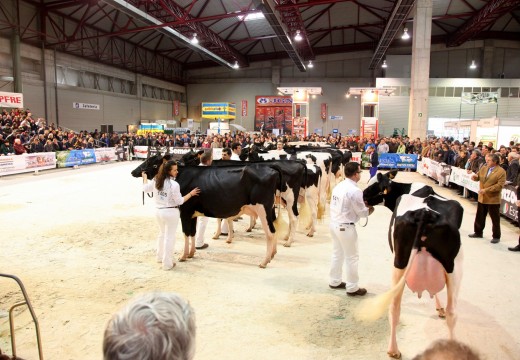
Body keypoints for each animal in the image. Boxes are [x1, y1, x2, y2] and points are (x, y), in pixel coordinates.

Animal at [360, 172, 466, 360]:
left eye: (373, 186)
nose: (362, 197)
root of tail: (425, 213)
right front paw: (439, 306)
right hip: (455, 267)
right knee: (452, 312)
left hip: (399, 262)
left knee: (394, 307)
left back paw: (393, 350)